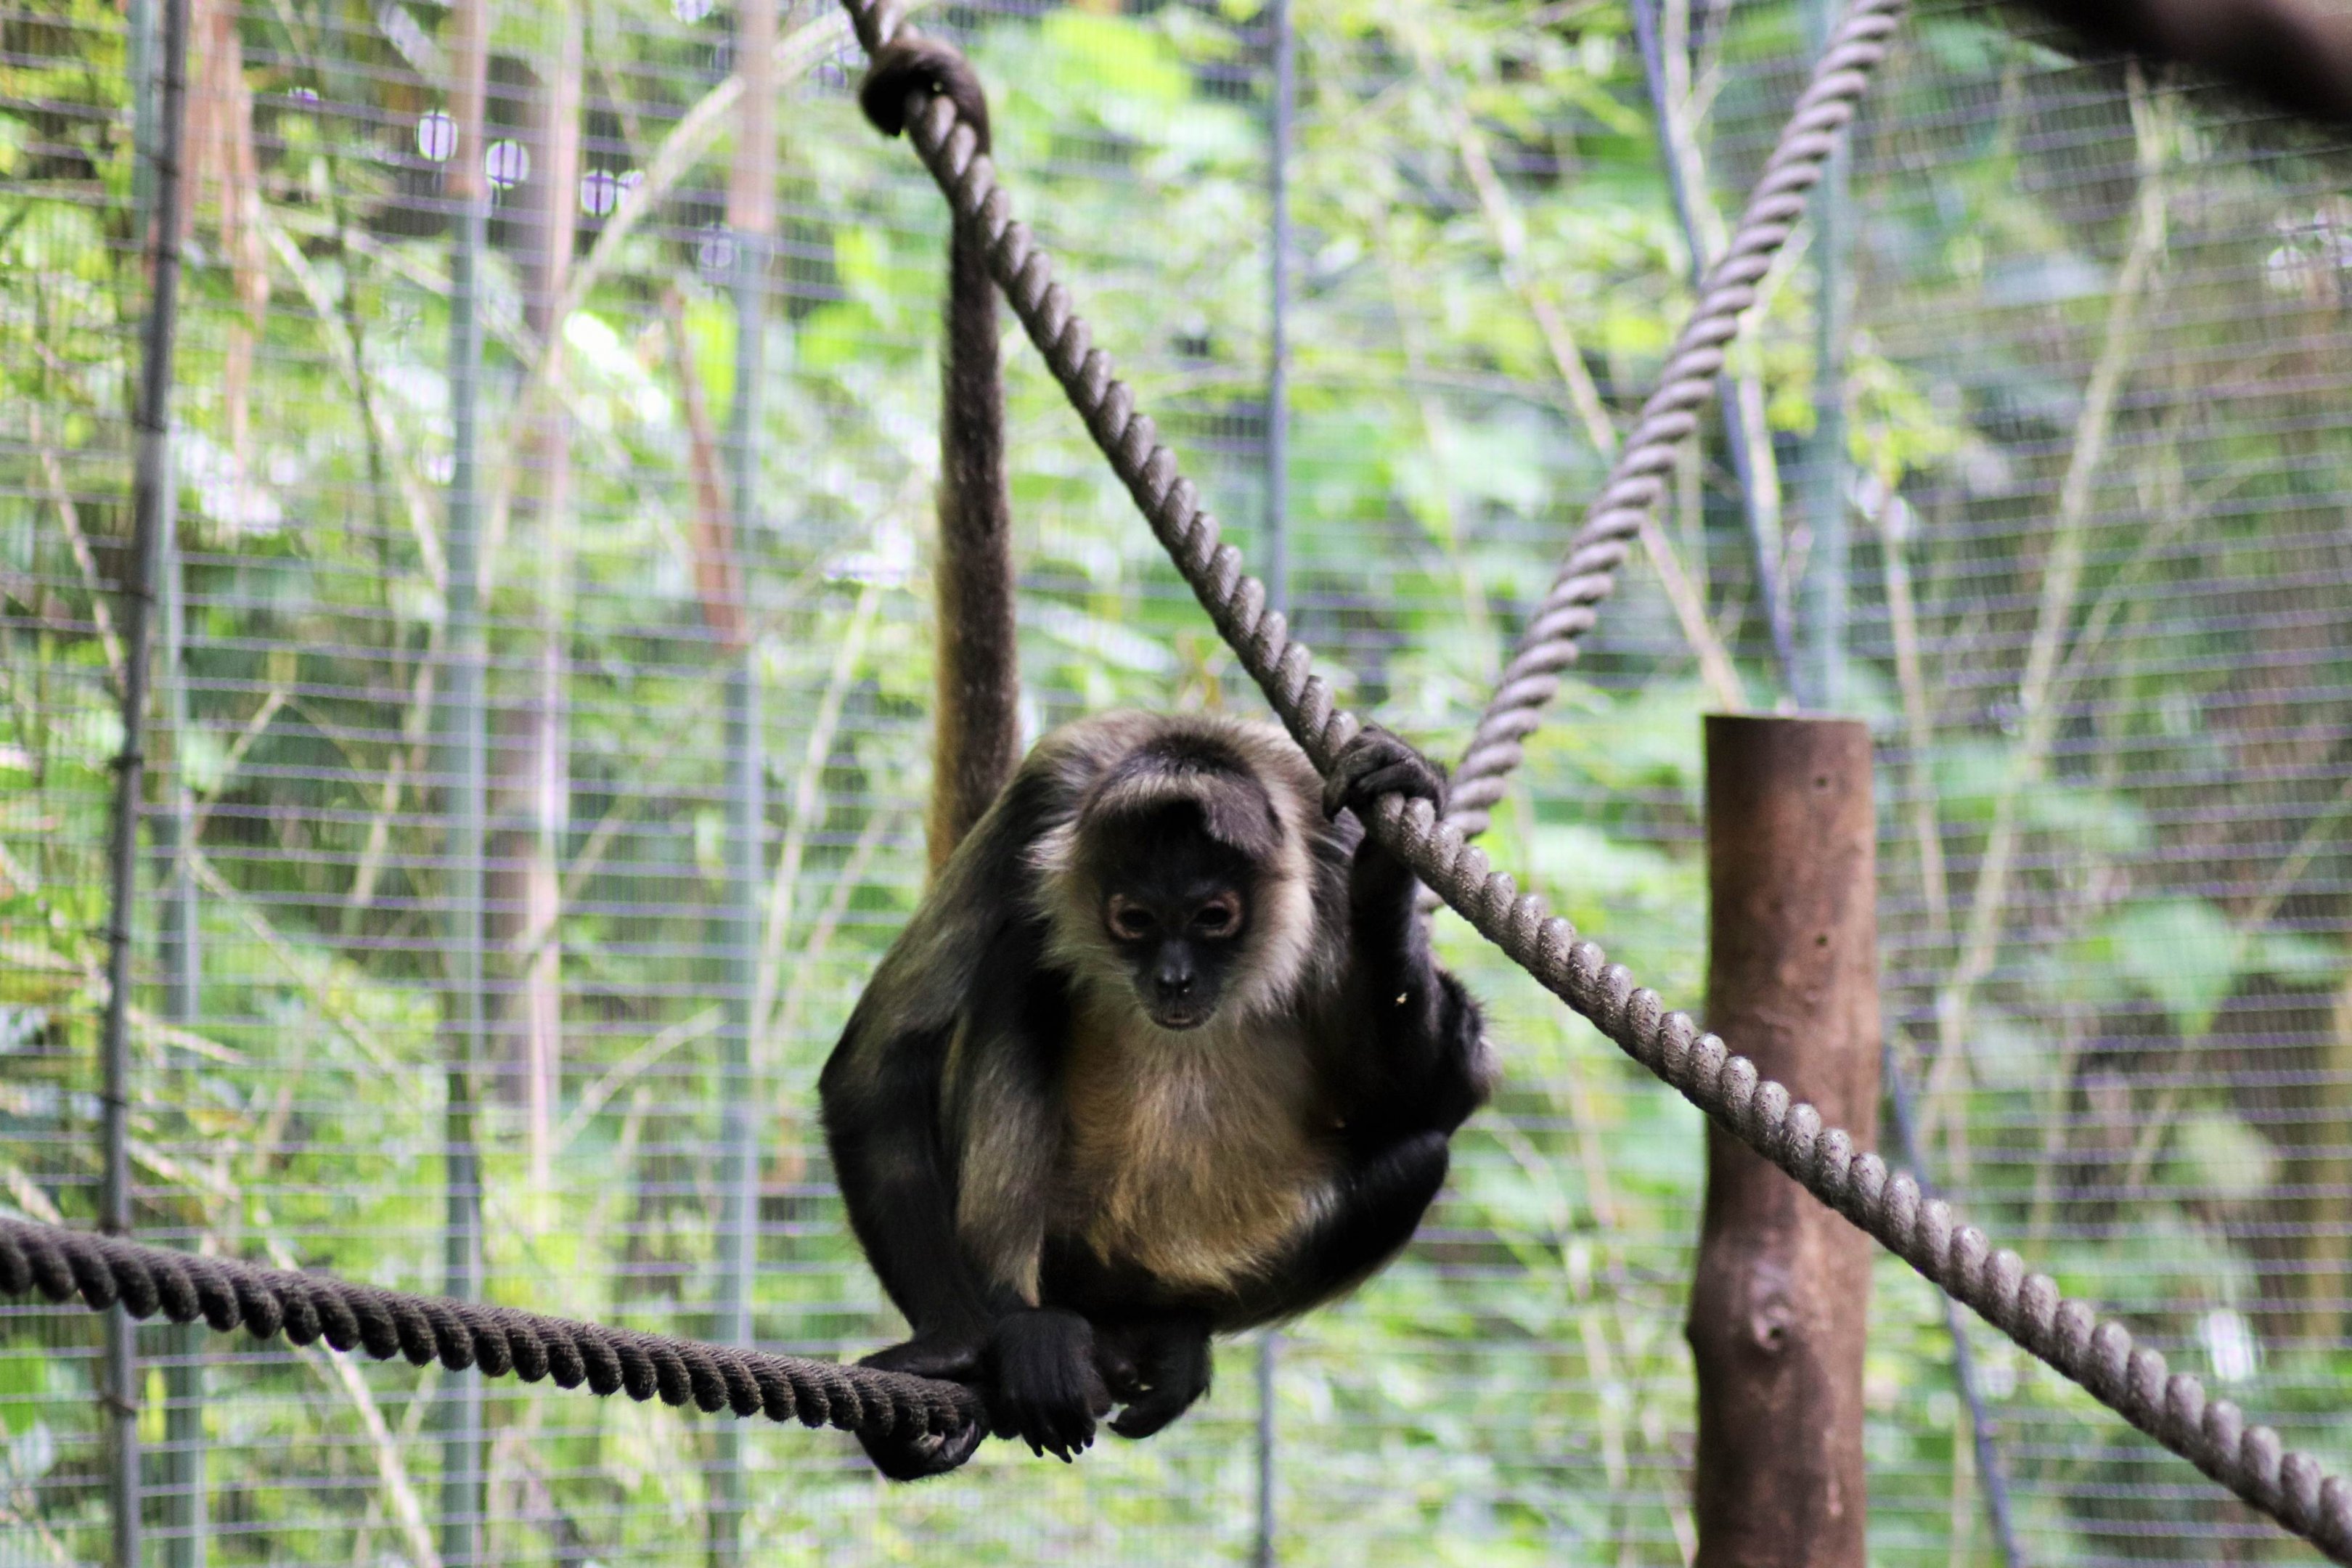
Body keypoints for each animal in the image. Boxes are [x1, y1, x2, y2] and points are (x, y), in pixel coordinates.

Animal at [820, 712, 1496, 1478]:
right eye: (1136, 920)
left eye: (1213, 917)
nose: (1175, 979)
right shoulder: (1042, 798)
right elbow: (875, 1063)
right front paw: (953, 1342)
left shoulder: (1325, 828)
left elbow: (1436, 1100)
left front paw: (1386, 868)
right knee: (1021, 953)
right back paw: (1023, 1330)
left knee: (1422, 1159)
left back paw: (1170, 1331)